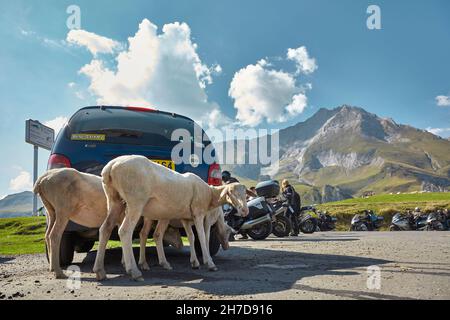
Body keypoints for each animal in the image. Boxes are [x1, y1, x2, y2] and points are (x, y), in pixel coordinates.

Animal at [32, 169, 183, 278]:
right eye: (172, 231)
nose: (181, 245)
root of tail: (41, 180)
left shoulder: (120, 218)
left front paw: (124, 262)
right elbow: (130, 234)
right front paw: (133, 264)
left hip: (50, 211)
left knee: (47, 235)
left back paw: (52, 267)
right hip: (63, 209)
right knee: (55, 235)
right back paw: (59, 272)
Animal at [93, 155, 248, 280]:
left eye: (245, 194)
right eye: (232, 193)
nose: (245, 211)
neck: (209, 193)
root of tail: (111, 166)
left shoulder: (186, 218)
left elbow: (192, 238)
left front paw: (195, 262)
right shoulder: (199, 213)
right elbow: (203, 237)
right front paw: (209, 263)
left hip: (114, 200)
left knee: (106, 228)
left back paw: (100, 270)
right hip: (135, 201)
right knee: (125, 232)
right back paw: (134, 271)